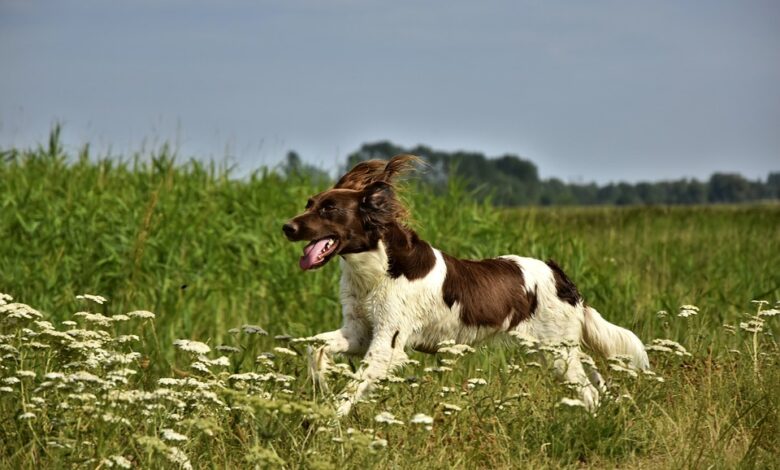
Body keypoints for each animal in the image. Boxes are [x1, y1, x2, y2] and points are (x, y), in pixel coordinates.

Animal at [284, 154, 648, 414]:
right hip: (560, 349)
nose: (286, 227)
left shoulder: (387, 345)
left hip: (558, 351)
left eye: (330, 208)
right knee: (595, 379)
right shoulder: (359, 332)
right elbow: (314, 348)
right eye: (309, 204)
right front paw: (320, 384)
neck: (377, 269)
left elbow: (349, 392)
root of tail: (560, 275)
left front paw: (326, 424)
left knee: (589, 393)